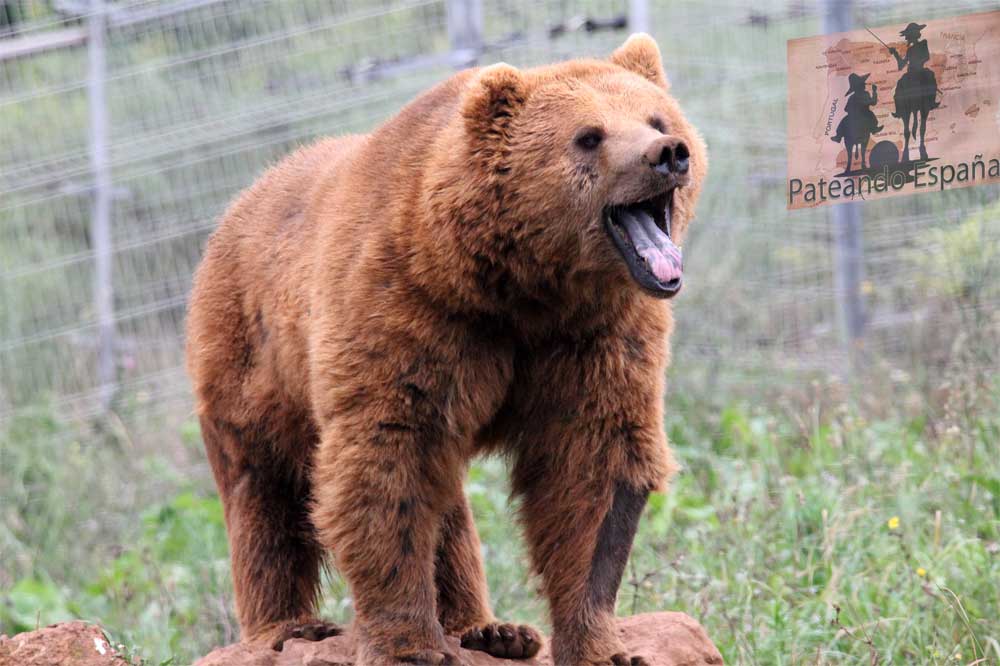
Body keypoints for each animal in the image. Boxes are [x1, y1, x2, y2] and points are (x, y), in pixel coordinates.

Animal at [186, 35, 704, 664]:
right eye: (589, 135)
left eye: (657, 118)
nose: (667, 153)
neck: (519, 285)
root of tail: (238, 203)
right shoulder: (409, 312)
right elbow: (386, 467)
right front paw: (410, 644)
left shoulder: (595, 334)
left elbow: (591, 469)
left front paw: (601, 644)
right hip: (249, 359)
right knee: (264, 491)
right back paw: (287, 627)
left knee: (449, 508)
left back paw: (492, 630)